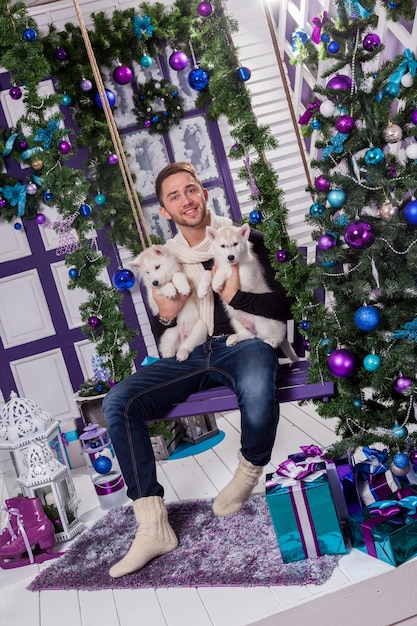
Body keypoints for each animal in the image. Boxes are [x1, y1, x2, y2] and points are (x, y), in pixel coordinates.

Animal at [198, 223, 300, 360]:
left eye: (236, 244)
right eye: (222, 246)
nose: (231, 257)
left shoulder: (246, 278)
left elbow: (226, 270)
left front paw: (217, 281)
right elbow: (208, 272)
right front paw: (202, 289)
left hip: (263, 322)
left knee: (278, 335)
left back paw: (272, 340)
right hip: (235, 319)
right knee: (250, 335)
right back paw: (235, 338)